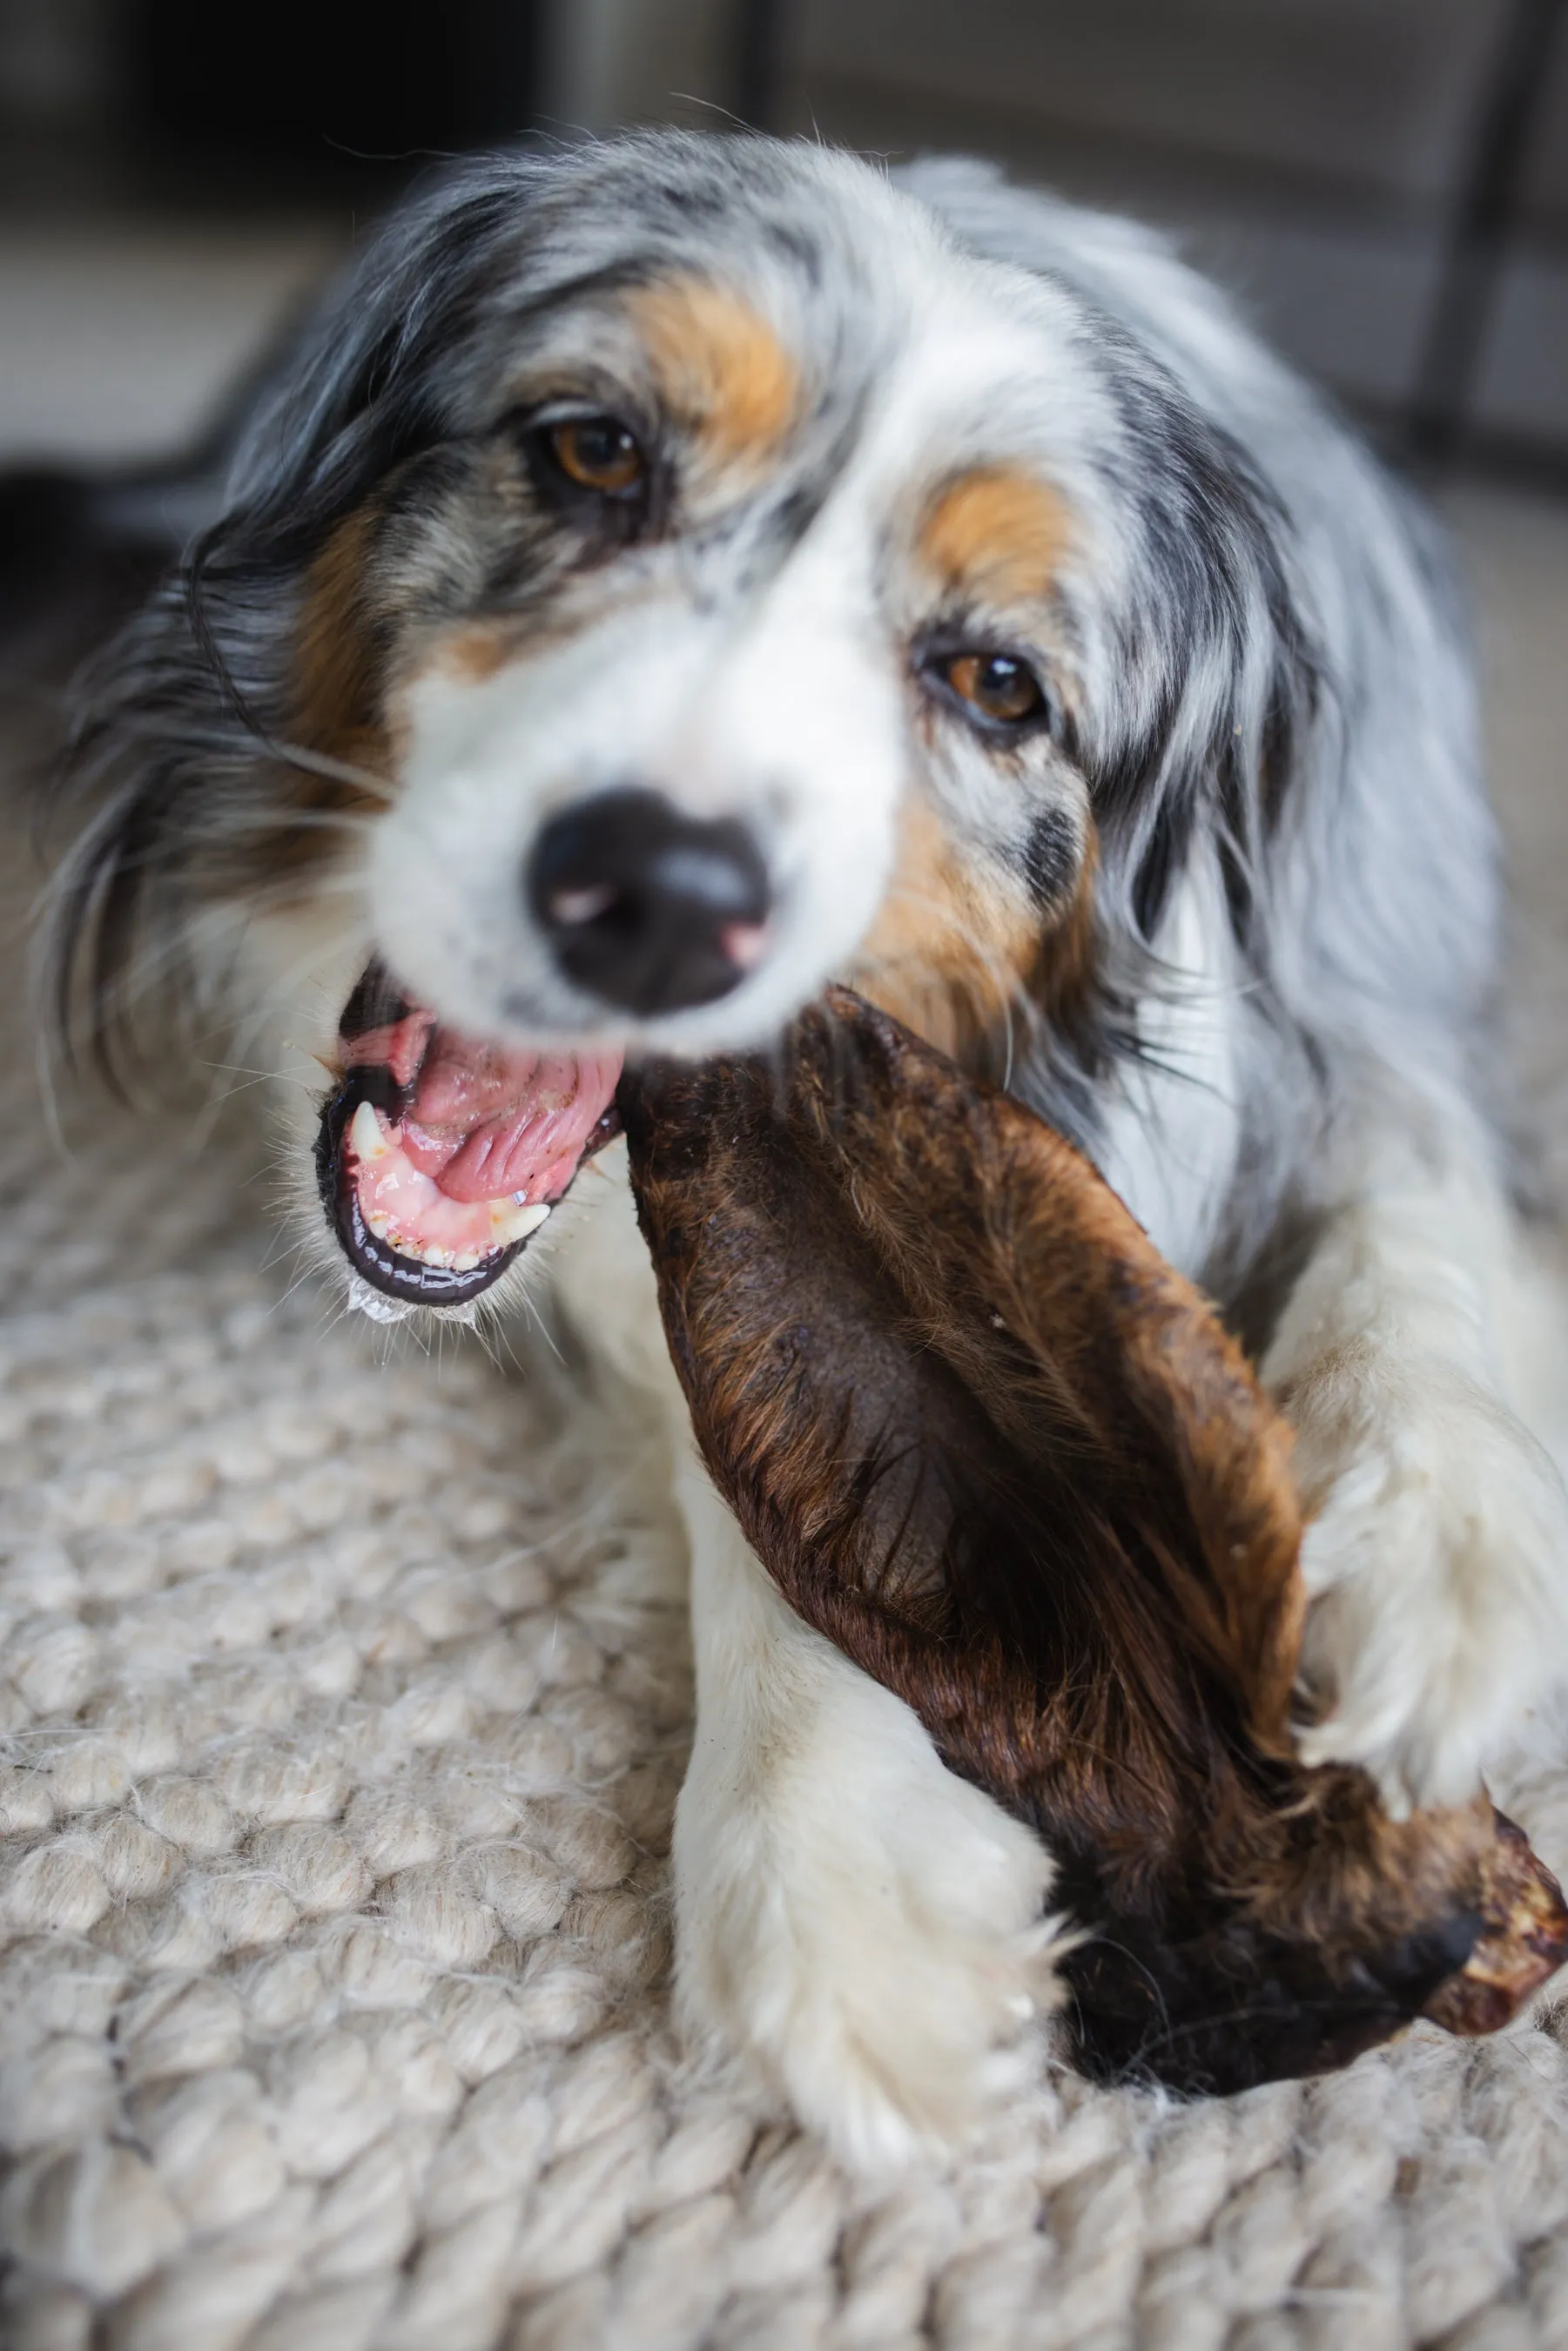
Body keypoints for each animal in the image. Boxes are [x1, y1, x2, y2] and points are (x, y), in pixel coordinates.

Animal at [21, 133, 1568, 2163]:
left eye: (996, 684)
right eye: (594, 450)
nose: (660, 900)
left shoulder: (1365, 993)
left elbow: (1415, 1197)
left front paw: (1436, 1563)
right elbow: (780, 1385)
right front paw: (838, 1873)